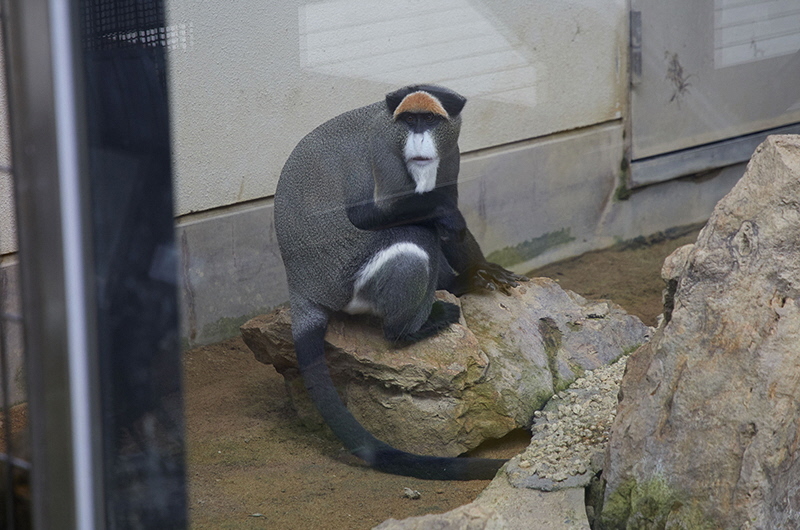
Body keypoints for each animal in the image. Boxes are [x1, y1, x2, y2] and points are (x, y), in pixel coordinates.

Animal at [274, 84, 526, 480]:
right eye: (409, 120)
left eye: (430, 120)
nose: (419, 137)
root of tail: (301, 287)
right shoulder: (382, 152)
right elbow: (372, 214)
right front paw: (447, 219)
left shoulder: (451, 152)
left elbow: (449, 213)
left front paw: (479, 269)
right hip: (348, 283)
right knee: (415, 236)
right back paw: (410, 329)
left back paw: (458, 285)